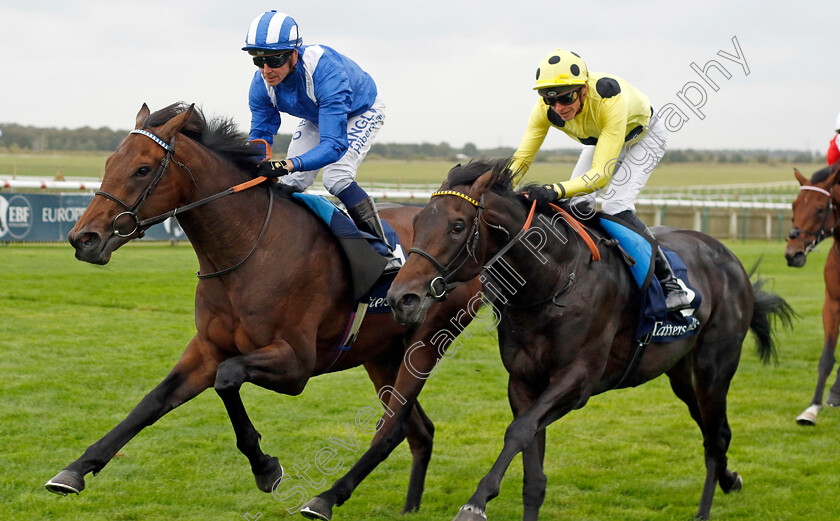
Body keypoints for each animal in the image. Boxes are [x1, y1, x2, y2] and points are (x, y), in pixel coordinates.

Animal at [47, 102, 480, 520]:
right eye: (108, 164)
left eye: (142, 169)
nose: (84, 238)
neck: (248, 248)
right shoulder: (207, 349)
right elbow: (151, 402)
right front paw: (75, 469)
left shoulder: (297, 364)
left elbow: (227, 378)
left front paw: (266, 468)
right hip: (381, 354)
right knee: (419, 429)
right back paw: (410, 507)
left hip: (424, 344)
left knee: (393, 427)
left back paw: (326, 499)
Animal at [388, 159, 796, 520]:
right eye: (418, 221)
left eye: (457, 226)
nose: (401, 298)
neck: (552, 283)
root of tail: (729, 259)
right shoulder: (524, 382)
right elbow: (530, 460)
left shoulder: (578, 381)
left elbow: (518, 431)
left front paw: (475, 504)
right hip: (681, 373)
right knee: (715, 429)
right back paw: (730, 479)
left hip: (714, 368)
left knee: (714, 438)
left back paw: (705, 509)